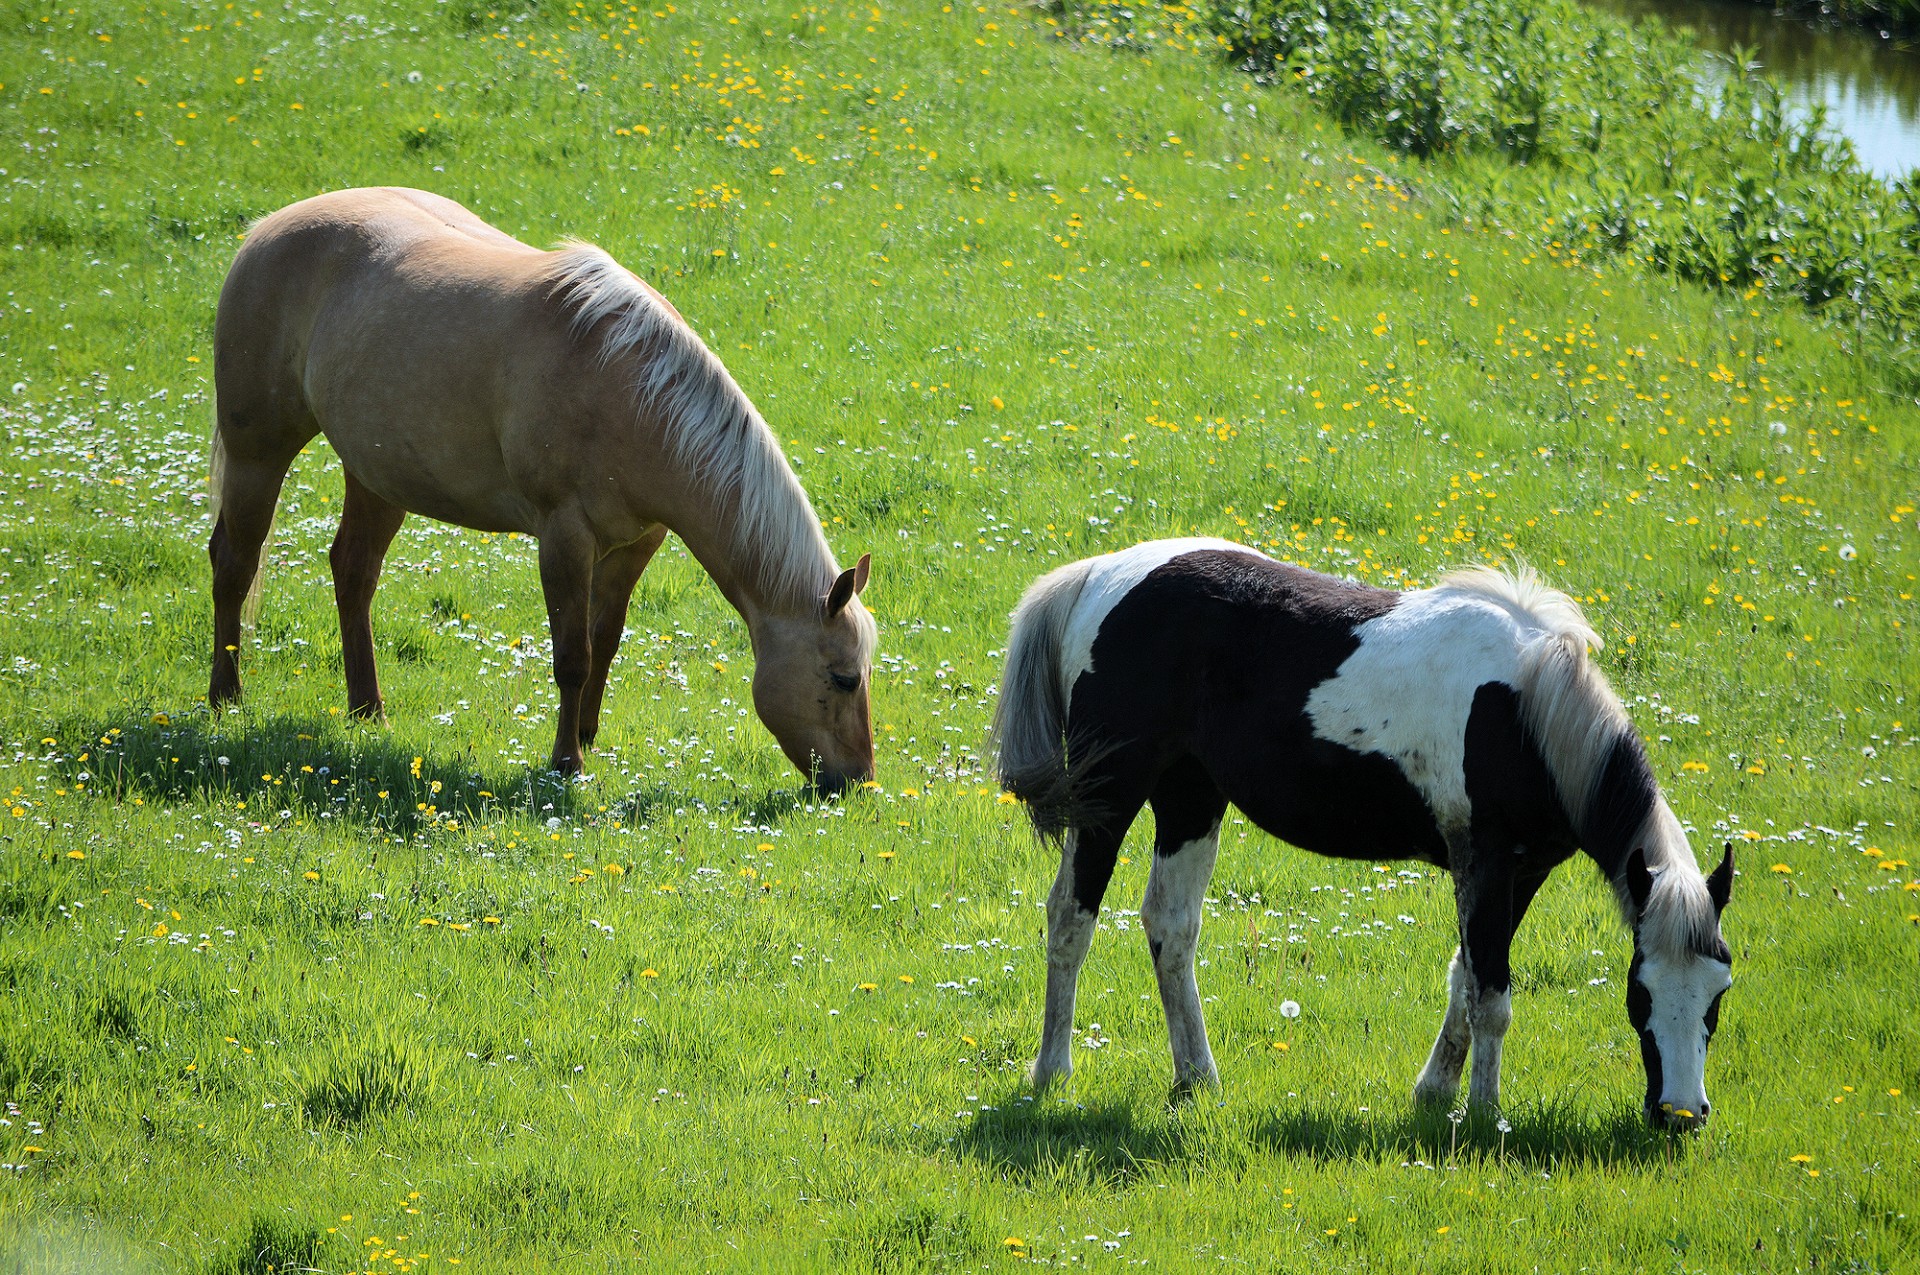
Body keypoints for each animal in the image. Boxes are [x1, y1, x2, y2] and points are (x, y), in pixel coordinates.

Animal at [212, 189, 879, 787]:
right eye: (844, 677)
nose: (858, 781)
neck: (629, 392)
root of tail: (265, 230)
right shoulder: (564, 536)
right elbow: (572, 656)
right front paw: (567, 762)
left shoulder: (638, 542)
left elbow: (604, 641)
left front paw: (585, 733)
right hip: (258, 454)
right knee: (234, 561)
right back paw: (225, 696)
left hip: (376, 475)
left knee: (353, 571)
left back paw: (367, 710)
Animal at [998, 537, 1735, 1129]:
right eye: (1641, 991)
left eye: (1718, 994)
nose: (1680, 1115)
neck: (1527, 711)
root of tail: (1098, 575)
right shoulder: (1486, 862)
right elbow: (1491, 995)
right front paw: (1486, 1115)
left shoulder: (1520, 872)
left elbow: (1465, 977)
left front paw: (1436, 1093)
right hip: (1109, 797)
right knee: (1070, 917)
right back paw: (1053, 1071)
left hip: (1190, 798)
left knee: (1171, 926)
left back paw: (1197, 1078)